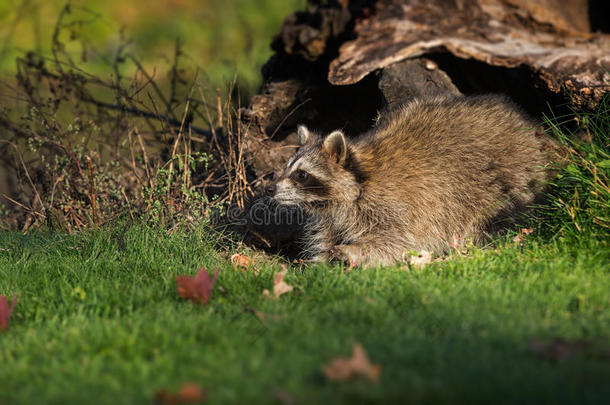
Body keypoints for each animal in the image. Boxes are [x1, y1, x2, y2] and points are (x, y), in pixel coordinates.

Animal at [264, 93, 548, 266]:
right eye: (286, 168)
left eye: (301, 174)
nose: (270, 189)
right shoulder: (332, 217)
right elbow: (326, 237)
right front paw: (321, 263)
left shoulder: (393, 204)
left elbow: (395, 239)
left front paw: (356, 251)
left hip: (512, 175)